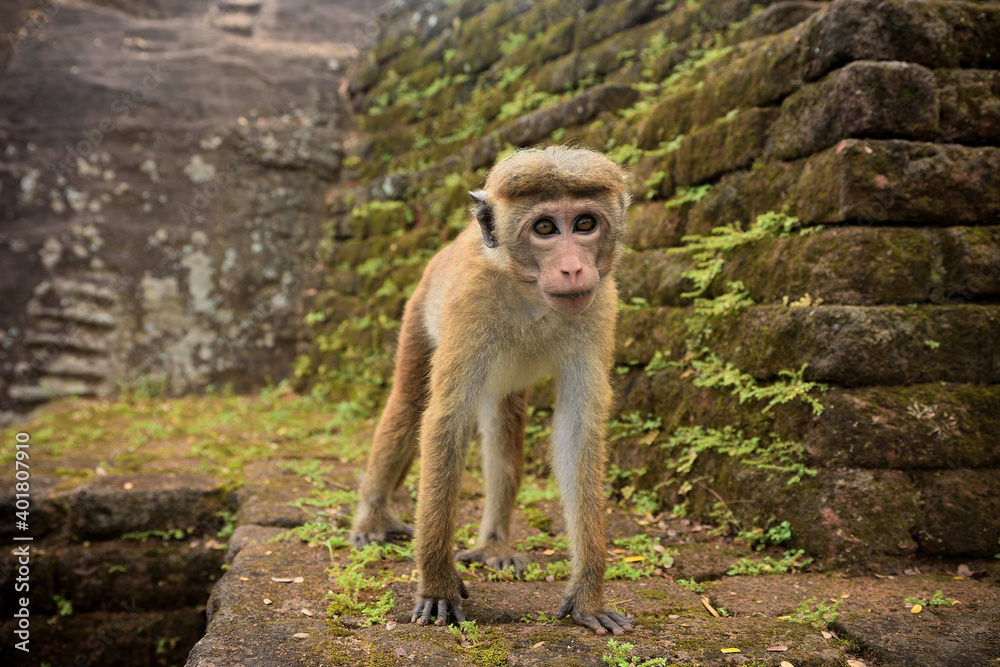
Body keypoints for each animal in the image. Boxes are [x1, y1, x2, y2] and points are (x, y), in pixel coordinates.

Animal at [350, 146, 634, 636]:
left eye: (584, 224)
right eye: (545, 228)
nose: (574, 267)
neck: (529, 292)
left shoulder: (600, 305)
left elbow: (577, 431)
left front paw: (589, 594)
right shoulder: (470, 302)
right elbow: (445, 419)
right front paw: (438, 584)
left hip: (504, 386)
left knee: (503, 427)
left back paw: (493, 545)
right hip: (419, 309)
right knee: (407, 405)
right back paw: (372, 515)